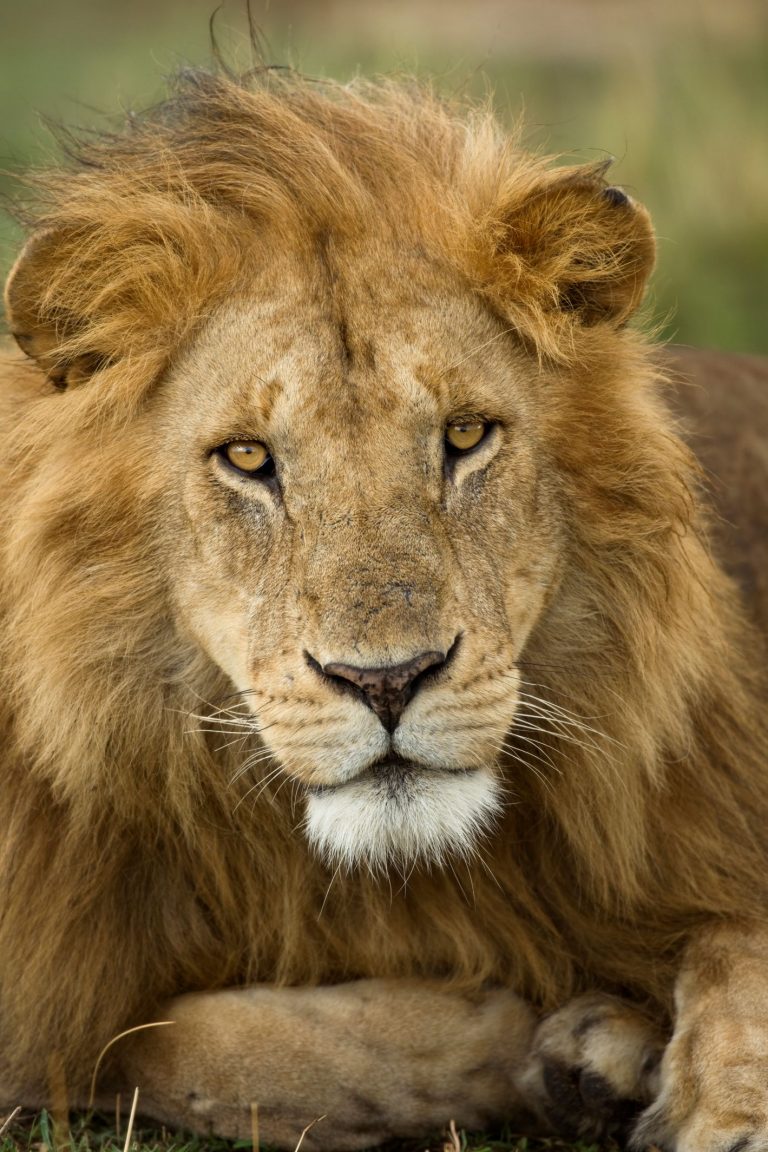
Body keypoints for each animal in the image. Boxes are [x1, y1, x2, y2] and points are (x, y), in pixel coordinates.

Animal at [4, 65, 768, 1152]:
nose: (387, 681)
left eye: (467, 435)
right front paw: (526, 1035)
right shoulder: (55, 998)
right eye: (247, 456)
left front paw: (712, 1095)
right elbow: (196, 1047)